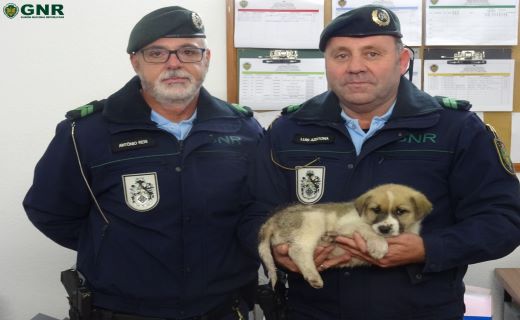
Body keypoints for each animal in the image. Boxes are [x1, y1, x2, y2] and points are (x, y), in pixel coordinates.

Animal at [258, 184, 432, 288]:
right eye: (375, 210)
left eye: (401, 211)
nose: (384, 228)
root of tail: (273, 219)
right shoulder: (349, 226)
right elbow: (368, 230)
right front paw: (379, 245)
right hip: (313, 219)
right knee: (298, 250)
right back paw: (314, 275)